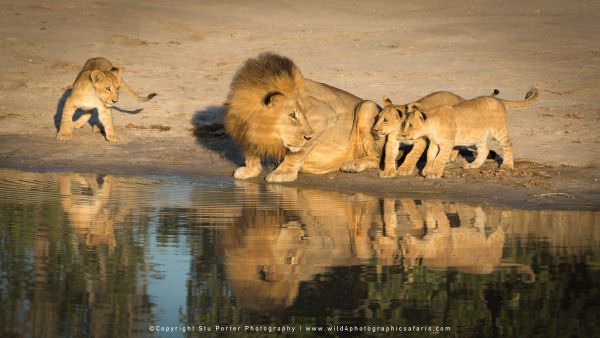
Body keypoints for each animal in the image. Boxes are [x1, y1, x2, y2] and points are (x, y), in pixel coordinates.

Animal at [223, 53, 382, 182]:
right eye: (292, 115)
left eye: (303, 113)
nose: (308, 137)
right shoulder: (243, 127)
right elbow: (250, 150)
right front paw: (250, 170)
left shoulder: (325, 113)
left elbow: (297, 153)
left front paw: (283, 173)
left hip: (366, 107)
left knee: (380, 158)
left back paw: (353, 165)